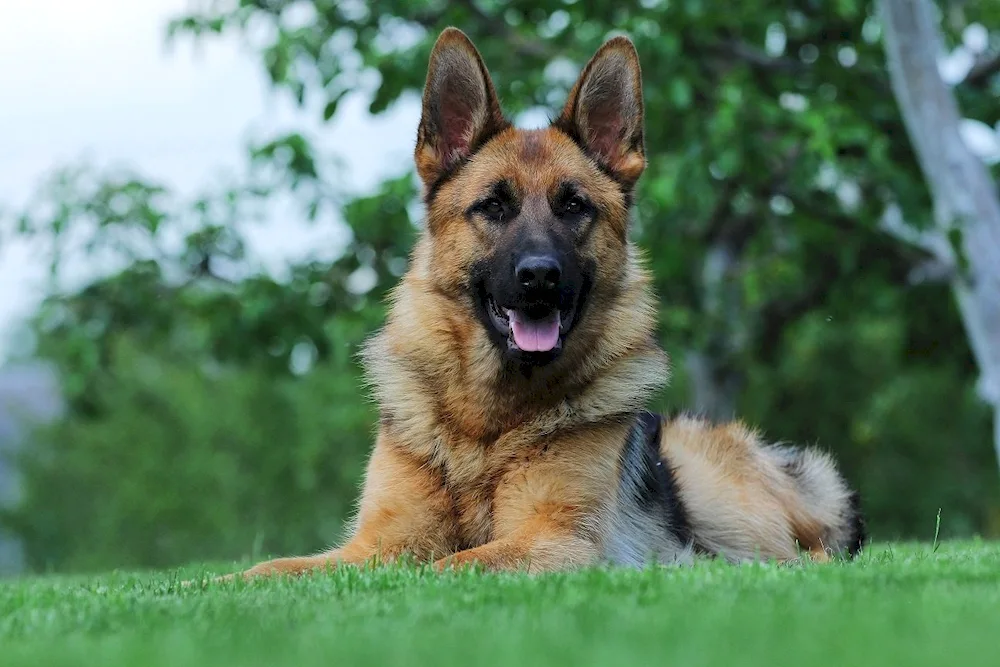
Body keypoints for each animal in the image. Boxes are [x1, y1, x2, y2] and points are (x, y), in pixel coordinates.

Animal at [219, 26, 868, 580]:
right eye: (493, 207)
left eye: (574, 206)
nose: (539, 277)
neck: (486, 425)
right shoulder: (376, 544)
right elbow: (272, 569)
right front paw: (215, 586)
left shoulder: (558, 541)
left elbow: (449, 565)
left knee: (794, 556)